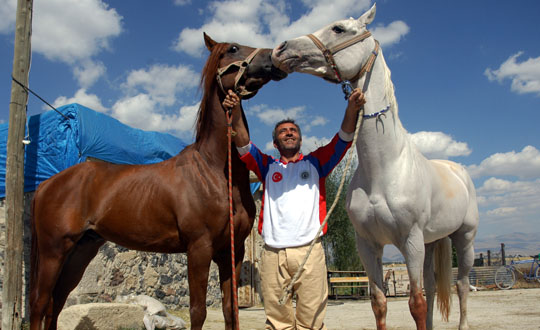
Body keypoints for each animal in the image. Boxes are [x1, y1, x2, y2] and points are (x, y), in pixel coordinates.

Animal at [29, 34, 286, 330]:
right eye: (233, 48)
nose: (276, 55)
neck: (214, 171)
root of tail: (47, 184)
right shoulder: (199, 248)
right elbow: (198, 311)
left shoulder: (231, 251)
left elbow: (230, 310)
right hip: (53, 250)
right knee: (40, 303)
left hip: (81, 251)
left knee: (56, 303)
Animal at [272, 4, 478, 330]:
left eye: (339, 28)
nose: (281, 50)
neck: (385, 168)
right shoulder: (368, 245)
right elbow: (380, 302)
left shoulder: (411, 241)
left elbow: (416, 303)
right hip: (433, 242)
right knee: (434, 288)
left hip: (464, 238)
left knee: (461, 285)